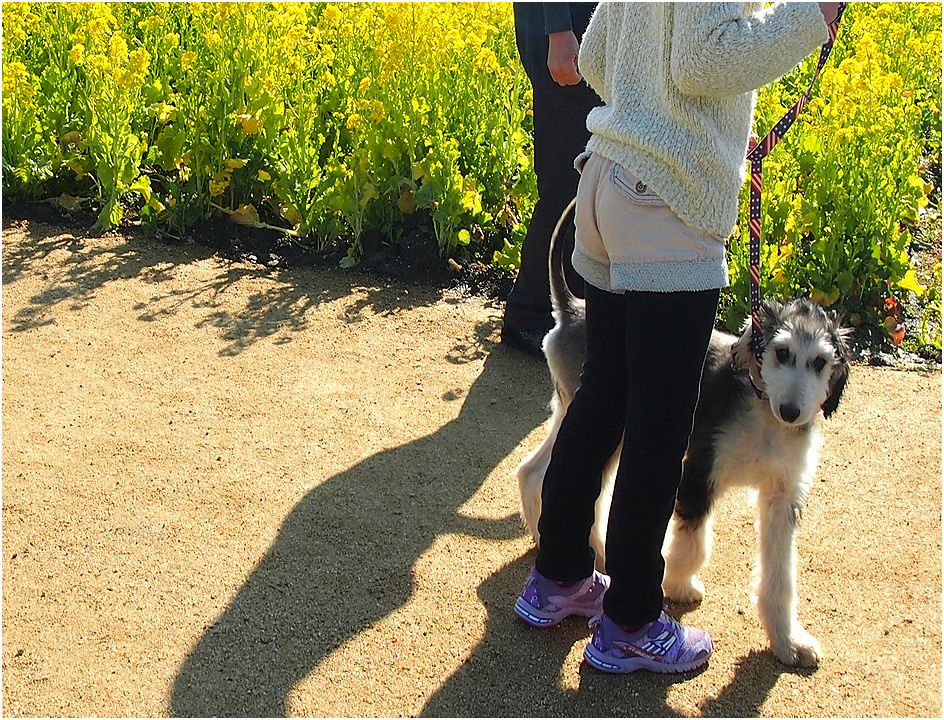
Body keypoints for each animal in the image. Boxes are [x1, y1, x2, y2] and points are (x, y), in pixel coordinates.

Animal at [520, 200, 852, 668]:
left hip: (578, 413)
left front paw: (788, 641)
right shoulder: (698, 473)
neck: (763, 413)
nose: (792, 411)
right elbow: (692, 543)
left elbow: (781, 578)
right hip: (616, 431)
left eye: (821, 363)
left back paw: (556, 540)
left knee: (533, 471)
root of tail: (573, 311)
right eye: (782, 353)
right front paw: (676, 586)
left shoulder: (782, 499)